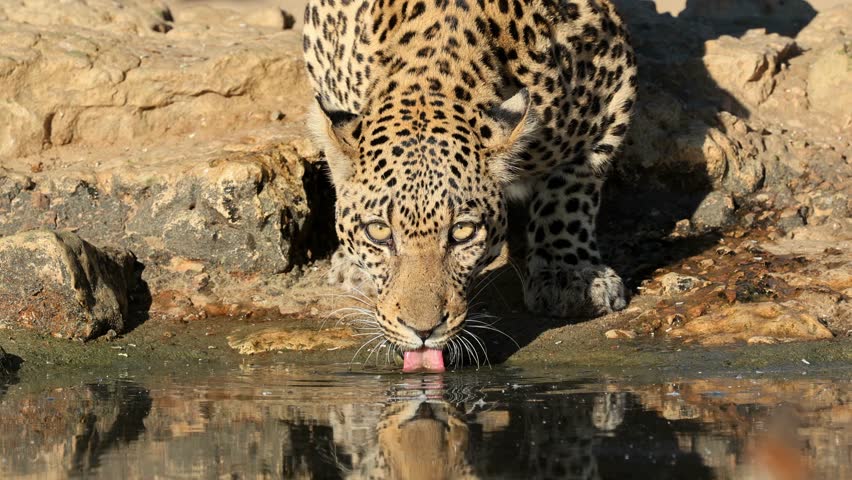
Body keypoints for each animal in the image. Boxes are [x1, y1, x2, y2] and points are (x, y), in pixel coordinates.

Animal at [302, 0, 637, 361]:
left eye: (462, 232)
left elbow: (571, 191)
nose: (423, 331)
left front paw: (570, 273)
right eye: (378, 231)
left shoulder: (613, 85)